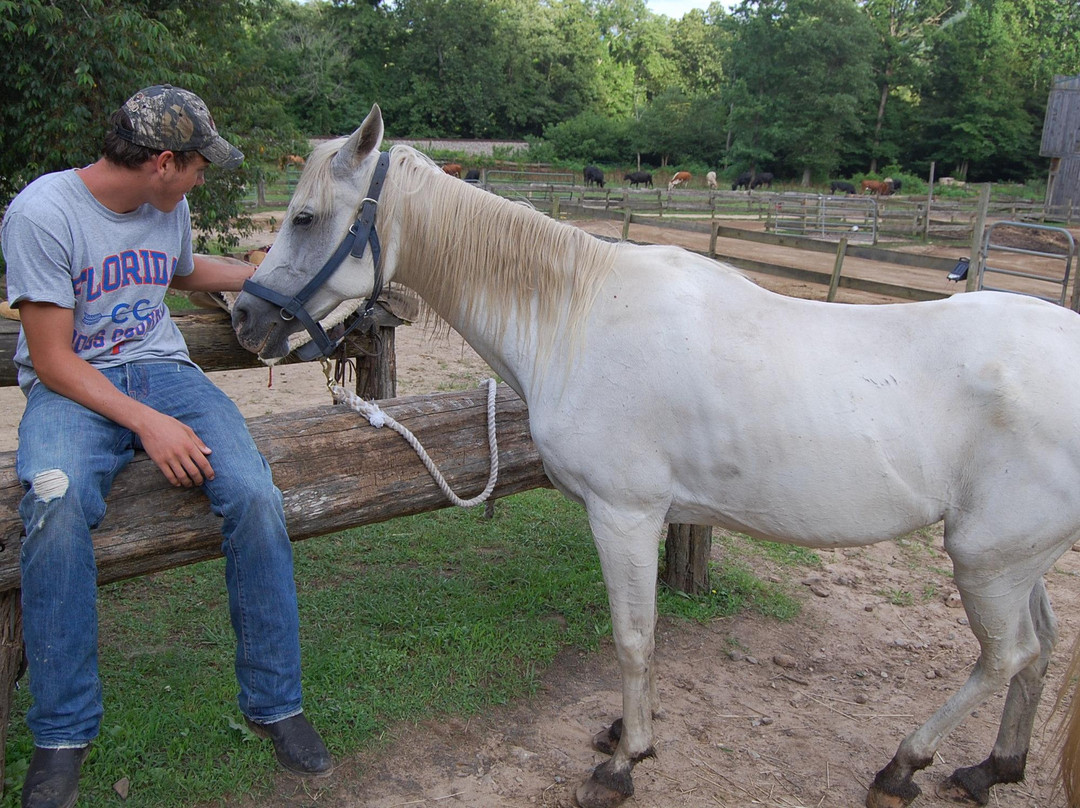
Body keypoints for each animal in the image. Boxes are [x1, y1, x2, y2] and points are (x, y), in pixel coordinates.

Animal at [234, 102, 1080, 808]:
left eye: (306, 217)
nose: (245, 318)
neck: (574, 315)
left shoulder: (626, 515)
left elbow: (633, 638)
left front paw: (623, 762)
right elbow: (646, 635)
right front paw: (625, 733)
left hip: (986, 559)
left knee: (1005, 656)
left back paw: (903, 767)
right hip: (1018, 558)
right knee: (1039, 650)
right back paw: (992, 768)